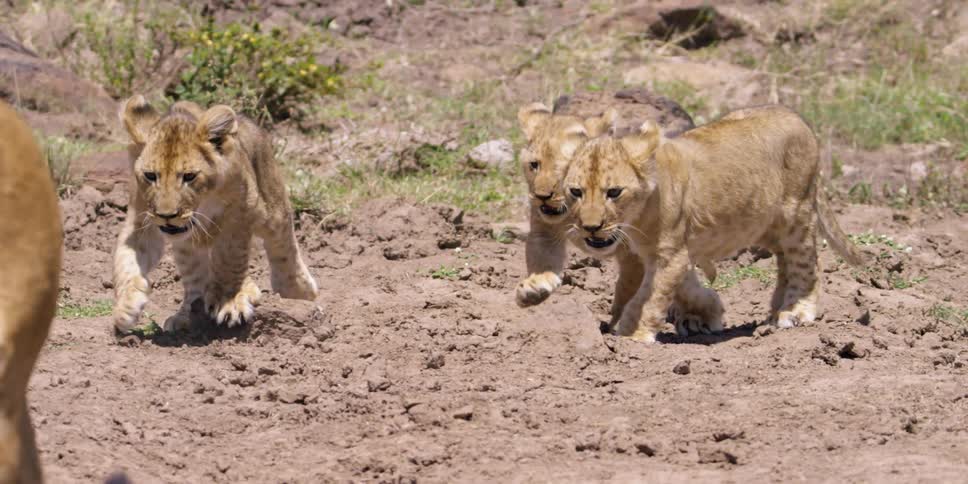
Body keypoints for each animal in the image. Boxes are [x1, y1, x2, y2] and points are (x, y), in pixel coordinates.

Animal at [113, 95, 318, 333]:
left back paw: (298, 291)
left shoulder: (240, 213)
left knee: (282, 245)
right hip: (186, 247)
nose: (167, 215)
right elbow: (126, 260)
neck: (202, 206)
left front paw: (228, 303)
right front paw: (126, 308)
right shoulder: (140, 220)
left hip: (272, 206)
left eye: (189, 176)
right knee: (195, 278)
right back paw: (187, 316)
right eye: (150, 175)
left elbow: (228, 259)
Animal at [515, 103, 724, 335]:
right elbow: (542, 259)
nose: (542, 195)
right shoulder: (544, 230)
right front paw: (535, 288)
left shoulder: (635, 252)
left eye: (563, 170)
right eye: (534, 165)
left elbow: (628, 288)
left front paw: (616, 329)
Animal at [562, 105, 865, 342]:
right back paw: (773, 312)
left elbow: (650, 296)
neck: (639, 214)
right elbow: (683, 287)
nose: (590, 227)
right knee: (784, 261)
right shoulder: (662, 254)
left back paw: (795, 311)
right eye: (576, 192)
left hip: (796, 212)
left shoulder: (670, 254)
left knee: (808, 261)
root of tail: (799, 119)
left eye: (614, 192)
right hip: (762, 222)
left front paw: (631, 335)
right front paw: (708, 313)